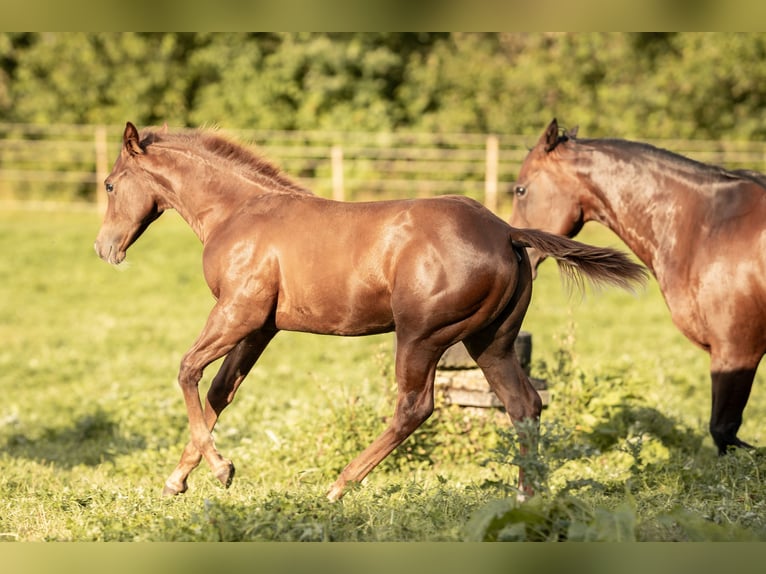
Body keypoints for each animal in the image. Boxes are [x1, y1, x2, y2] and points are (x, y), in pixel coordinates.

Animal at [94, 121, 648, 500]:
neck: (238, 212)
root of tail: (507, 232)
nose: (105, 249)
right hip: (491, 342)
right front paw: (180, 479)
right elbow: (220, 392)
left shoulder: (238, 313)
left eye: (109, 184)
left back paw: (340, 485)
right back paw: (527, 493)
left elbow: (188, 371)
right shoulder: (260, 328)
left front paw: (220, 470)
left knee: (415, 407)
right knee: (524, 404)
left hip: (422, 335)